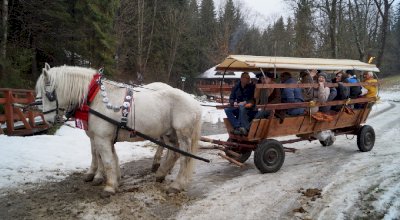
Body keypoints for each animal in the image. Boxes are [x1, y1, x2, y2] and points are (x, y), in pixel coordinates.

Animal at [35, 65, 202, 194]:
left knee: (185, 157)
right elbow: (110, 158)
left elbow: (107, 160)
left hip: (183, 133)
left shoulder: (101, 138)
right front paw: (114, 180)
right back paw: (160, 174)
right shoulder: (103, 138)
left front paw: (109, 187)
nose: (47, 120)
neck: (94, 97)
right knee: (173, 153)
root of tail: (195, 103)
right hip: (169, 133)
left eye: (47, 94)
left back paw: (176, 185)